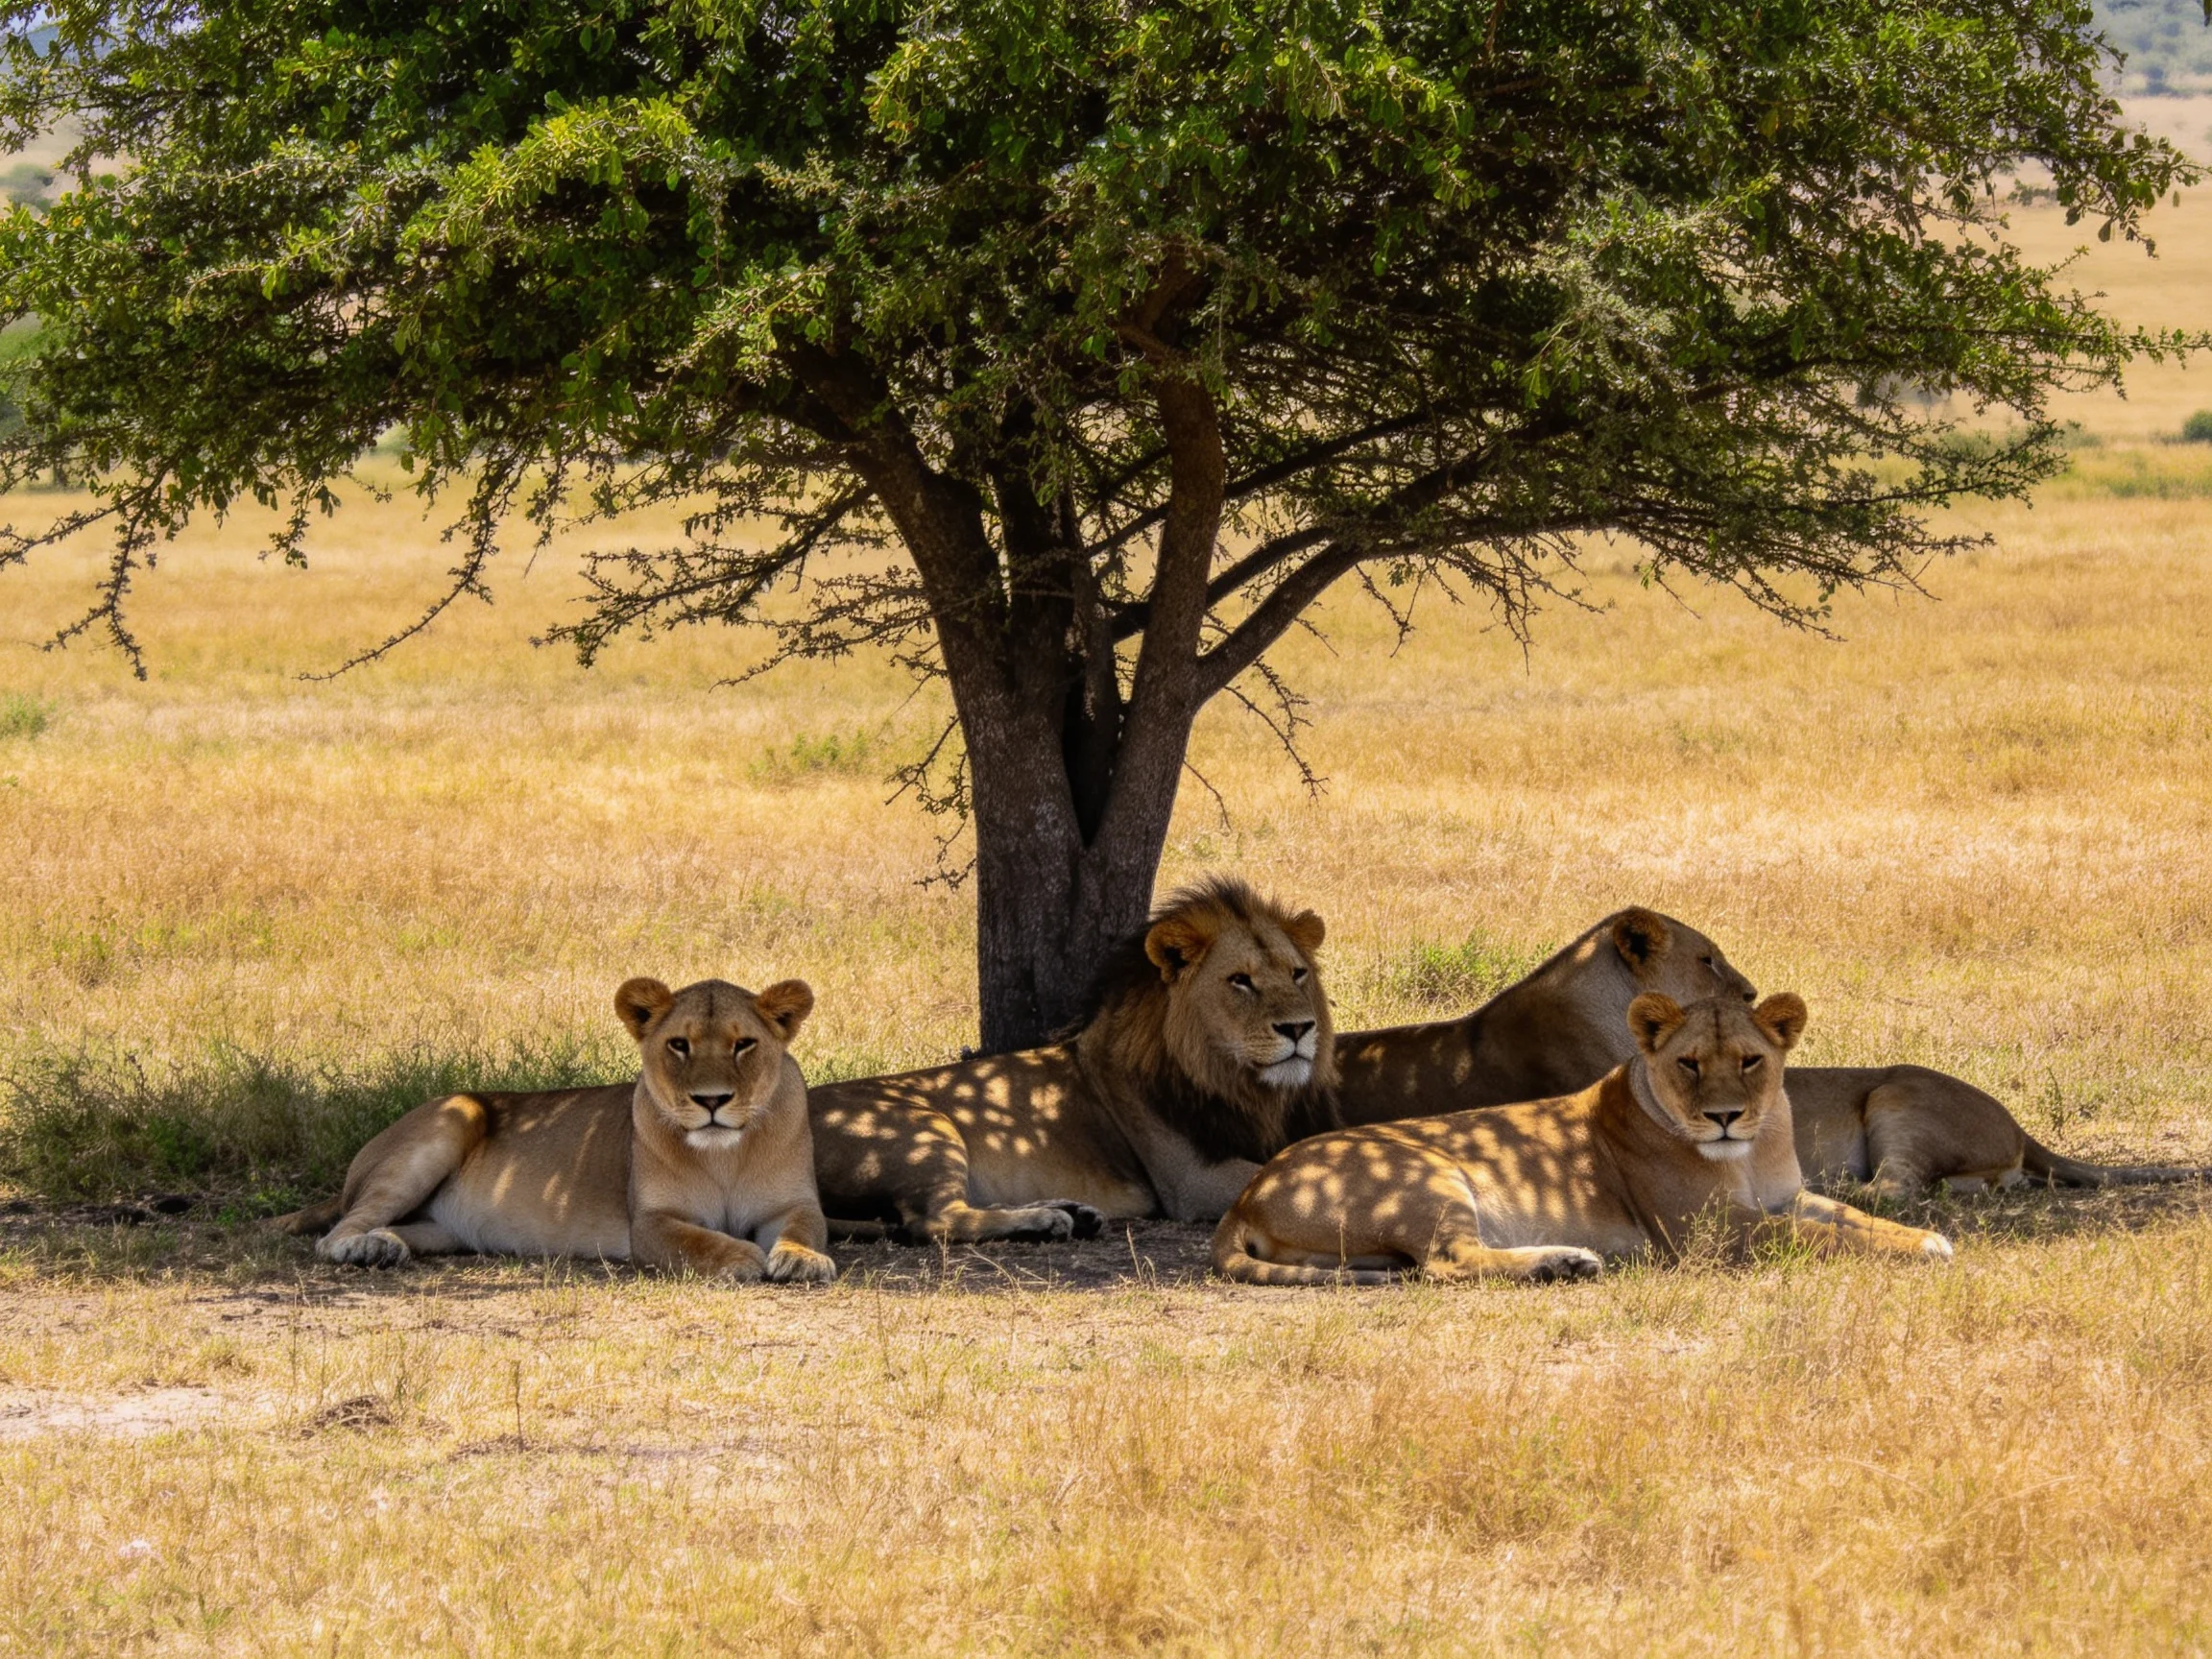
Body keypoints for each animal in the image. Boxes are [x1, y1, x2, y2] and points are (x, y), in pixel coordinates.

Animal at [275, 976, 837, 1282]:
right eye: (679, 1045)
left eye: (744, 1044)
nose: (712, 1100)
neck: (724, 1154)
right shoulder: (650, 1223)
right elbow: (698, 1241)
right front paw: (743, 1255)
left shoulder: (793, 1204)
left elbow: (804, 1230)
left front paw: (803, 1261)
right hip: (454, 1116)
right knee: (337, 1231)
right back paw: (362, 1248)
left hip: (444, 1227)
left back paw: (387, 1245)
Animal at [809, 876, 1340, 1241]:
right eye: (1240, 981)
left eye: (1297, 973)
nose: (1300, 1028)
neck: (1237, 1082)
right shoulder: (1192, 1181)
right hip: (922, 1127)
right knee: (935, 1221)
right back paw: (1044, 1222)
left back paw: (1072, 1212)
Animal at [1214, 990, 1955, 1285]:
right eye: (1689, 1064)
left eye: (1750, 1061)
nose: (1723, 1117)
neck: (1750, 1151)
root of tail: (1248, 1192)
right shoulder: (1712, 1233)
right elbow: (1817, 1236)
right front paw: (1920, 1250)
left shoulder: (1784, 1196)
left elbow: (1851, 1216)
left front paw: (1925, 1235)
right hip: (1429, 1174)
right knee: (1447, 1262)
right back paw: (1563, 1263)